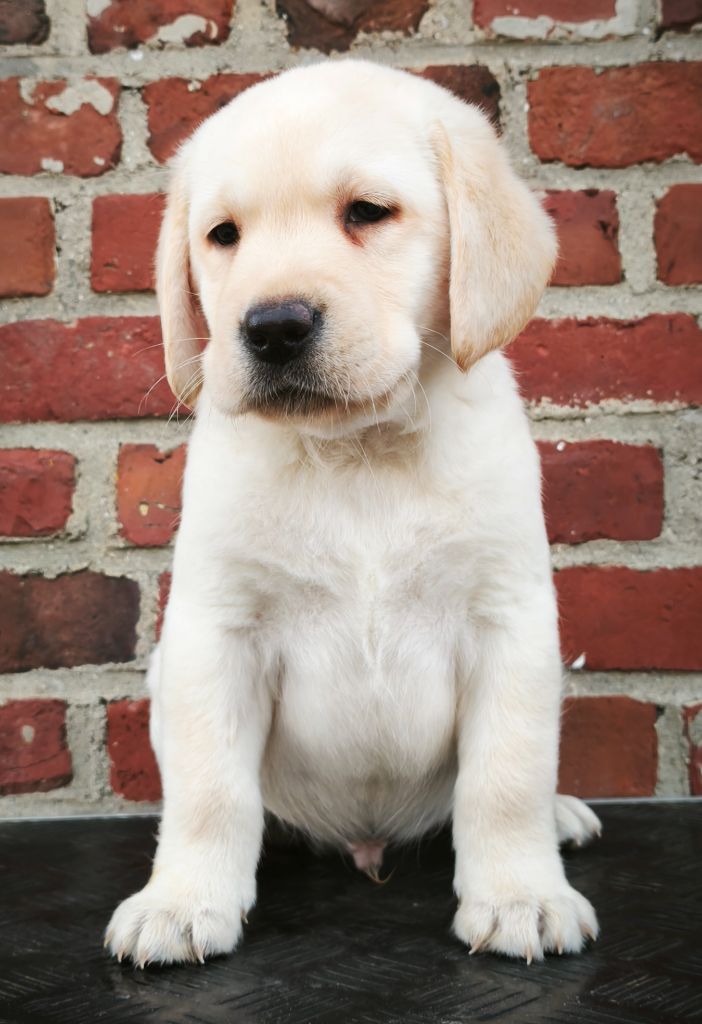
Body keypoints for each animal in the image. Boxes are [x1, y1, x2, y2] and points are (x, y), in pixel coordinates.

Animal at [106, 60, 601, 968]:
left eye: (367, 213)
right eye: (223, 235)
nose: (272, 326)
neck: (357, 454)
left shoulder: (508, 621)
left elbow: (507, 776)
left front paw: (522, 895)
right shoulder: (214, 632)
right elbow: (209, 789)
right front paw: (182, 901)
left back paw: (558, 817)